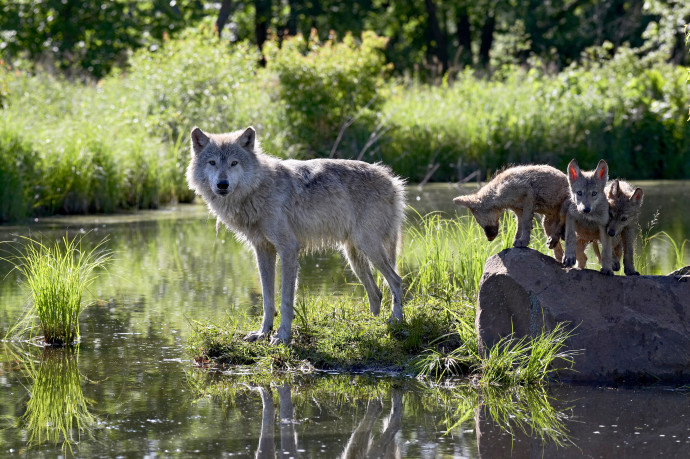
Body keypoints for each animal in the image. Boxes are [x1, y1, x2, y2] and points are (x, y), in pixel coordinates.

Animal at [185, 126, 406, 344]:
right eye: (212, 162)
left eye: (234, 163)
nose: (222, 184)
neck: (258, 190)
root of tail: (392, 180)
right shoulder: (263, 250)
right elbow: (267, 299)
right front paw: (263, 332)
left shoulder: (288, 249)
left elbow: (285, 300)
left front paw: (282, 335)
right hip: (354, 257)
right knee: (376, 292)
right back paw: (372, 323)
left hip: (369, 249)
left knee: (396, 281)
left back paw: (396, 320)